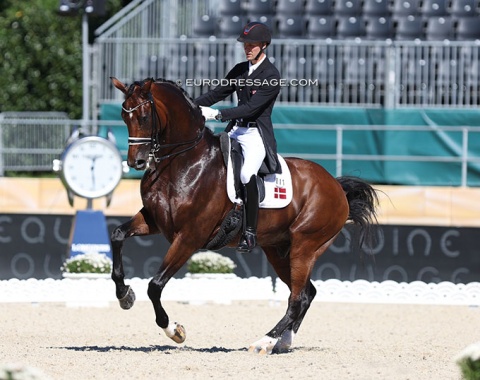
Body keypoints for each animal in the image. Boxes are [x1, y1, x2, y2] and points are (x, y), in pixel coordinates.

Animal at [109, 77, 378, 356]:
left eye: (144, 116)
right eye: (123, 115)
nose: (137, 162)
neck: (183, 162)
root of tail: (336, 186)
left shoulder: (190, 237)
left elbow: (155, 285)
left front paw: (174, 331)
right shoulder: (154, 221)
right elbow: (117, 235)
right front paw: (125, 295)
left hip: (305, 246)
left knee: (297, 297)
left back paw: (265, 341)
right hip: (278, 249)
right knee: (306, 293)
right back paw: (282, 341)